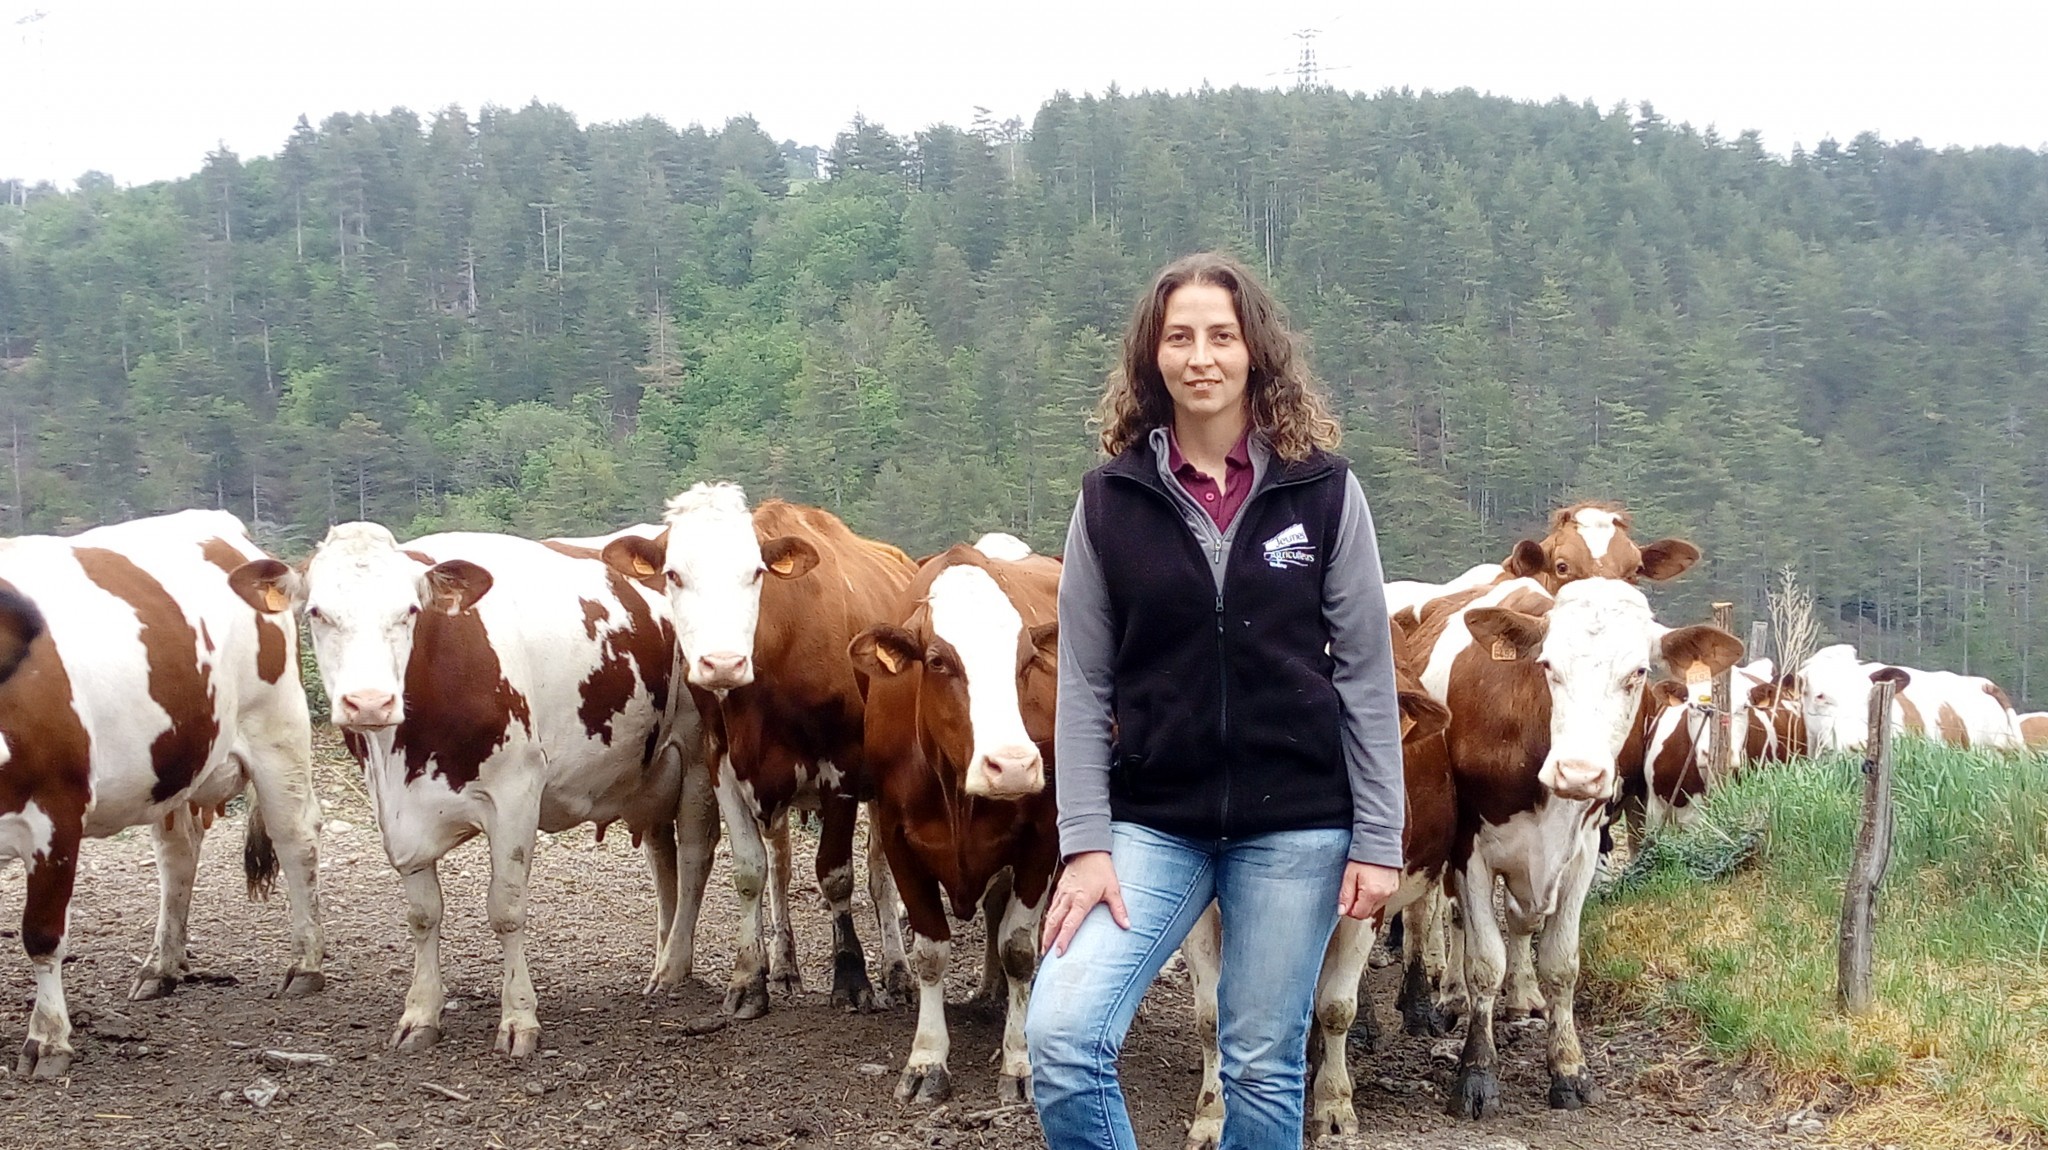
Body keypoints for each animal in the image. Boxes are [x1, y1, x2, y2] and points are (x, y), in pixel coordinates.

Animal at [0, 509, 323, 1072]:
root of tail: (219, 524)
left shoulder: (55, 812)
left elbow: (42, 934)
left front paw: (48, 1038)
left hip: (277, 727)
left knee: (294, 839)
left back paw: (305, 965)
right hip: (169, 769)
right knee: (178, 855)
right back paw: (162, 966)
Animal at [234, 523, 704, 1055]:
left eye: (409, 611)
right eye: (317, 612)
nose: (370, 701)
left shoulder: (516, 792)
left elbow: (506, 910)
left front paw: (519, 1018)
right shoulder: (394, 810)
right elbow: (422, 915)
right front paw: (421, 1013)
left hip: (697, 761)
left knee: (693, 860)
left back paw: (674, 967)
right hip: (651, 778)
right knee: (664, 864)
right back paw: (665, 962)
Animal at [602, 478, 917, 1014]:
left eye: (755, 572)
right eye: (673, 574)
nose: (722, 663)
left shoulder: (842, 767)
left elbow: (837, 875)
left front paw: (852, 978)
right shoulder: (723, 763)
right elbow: (751, 871)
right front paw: (750, 979)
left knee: (880, 873)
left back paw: (897, 972)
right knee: (782, 868)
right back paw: (785, 966)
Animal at [851, 536, 1073, 1104]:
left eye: (1026, 662)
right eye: (937, 660)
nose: (1013, 765)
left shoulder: (1043, 838)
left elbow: (1019, 947)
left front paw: (1019, 1060)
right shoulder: (899, 839)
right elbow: (931, 952)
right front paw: (928, 1058)